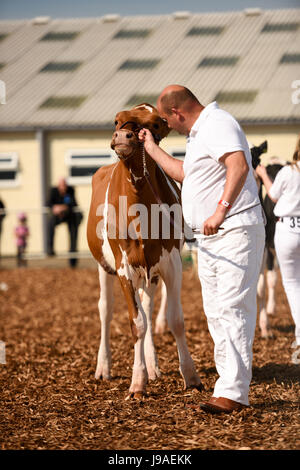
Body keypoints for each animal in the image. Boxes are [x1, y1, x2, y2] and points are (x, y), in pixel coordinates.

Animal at [88, 104, 203, 398]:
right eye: (116, 120)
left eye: (156, 124)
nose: (123, 136)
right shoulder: (123, 267)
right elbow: (136, 323)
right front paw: (137, 383)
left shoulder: (171, 262)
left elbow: (175, 320)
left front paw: (191, 376)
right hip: (103, 266)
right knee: (105, 309)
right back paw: (103, 367)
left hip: (150, 271)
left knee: (148, 306)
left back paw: (152, 366)